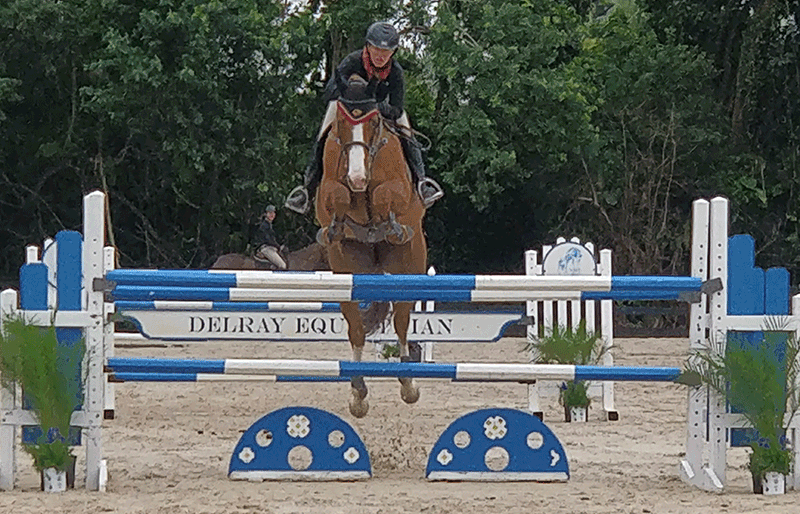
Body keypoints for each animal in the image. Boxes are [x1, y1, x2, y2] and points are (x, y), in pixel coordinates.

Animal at [315, 77, 428, 418]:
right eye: (341, 123)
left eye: (375, 122)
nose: (357, 177)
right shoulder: (327, 191)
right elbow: (336, 195)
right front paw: (340, 219)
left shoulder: (398, 189)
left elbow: (384, 195)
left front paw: (385, 220)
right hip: (349, 270)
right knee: (356, 329)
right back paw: (358, 392)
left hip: (409, 266)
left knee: (402, 323)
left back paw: (408, 385)